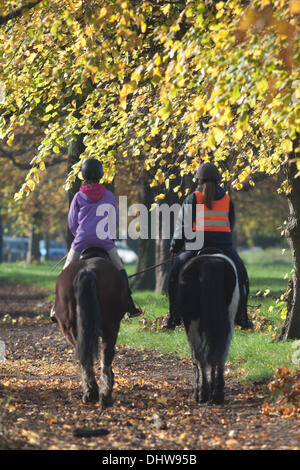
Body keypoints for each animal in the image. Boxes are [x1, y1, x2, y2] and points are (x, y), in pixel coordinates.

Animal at [53, 248, 127, 406]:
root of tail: (87, 270)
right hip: (110, 326)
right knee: (106, 354)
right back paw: (104, 393)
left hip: (72, 329)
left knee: (85, 355)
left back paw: (92, 392)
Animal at [178, 252, 239, 406]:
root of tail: (208, 263)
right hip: (226, 320)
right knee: (218, 353)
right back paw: (215, 393)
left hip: (192, 321)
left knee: (202, 354)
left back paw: (204, 392)